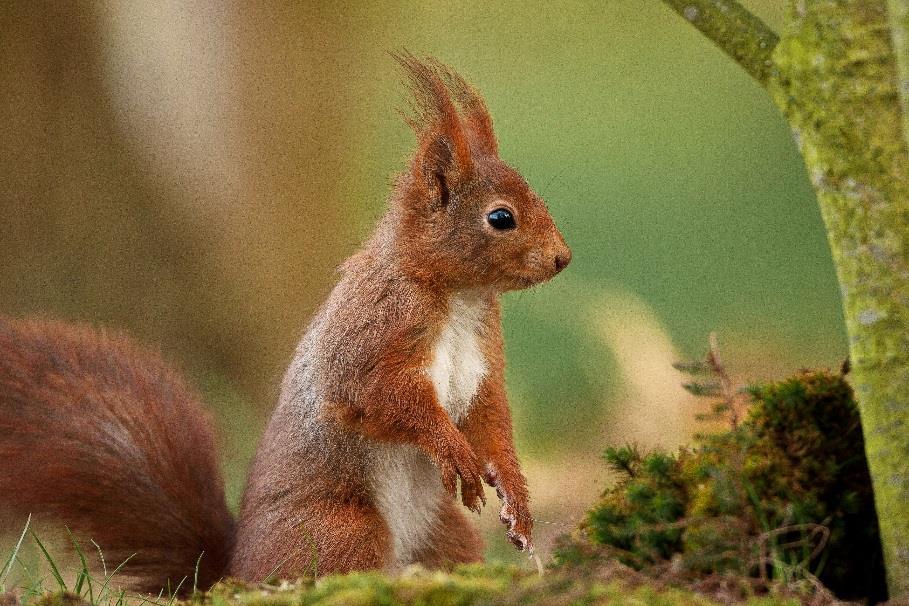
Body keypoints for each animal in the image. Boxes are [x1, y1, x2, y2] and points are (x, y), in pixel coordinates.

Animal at [0, 55, 568, 592]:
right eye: (500, 218)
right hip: (342, 528)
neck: (457, 297)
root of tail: (234, 571)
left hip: (446, 534)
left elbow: (492, 422)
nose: (563, 259)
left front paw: (516, 499)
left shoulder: (482, 362)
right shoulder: (371, 331)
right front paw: (452, 449)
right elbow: (379, 396)